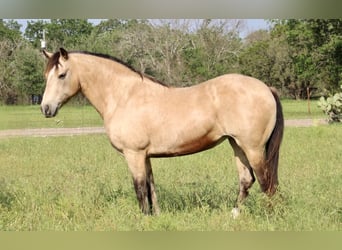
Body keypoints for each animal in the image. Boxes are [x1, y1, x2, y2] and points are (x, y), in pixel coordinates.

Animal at [41, 47, 284, 216]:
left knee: (266, 182)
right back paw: (234, 214)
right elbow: (151, 189)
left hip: (253, 148)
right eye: (46, 76)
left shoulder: (134, 154)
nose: (46, 108)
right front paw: (155, 217)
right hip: (237, 145)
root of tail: (266, 88)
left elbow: (140, 189)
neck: (124, 96)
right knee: (246, 180)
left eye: (62, 75)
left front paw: (143, 218)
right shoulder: (145, 156)